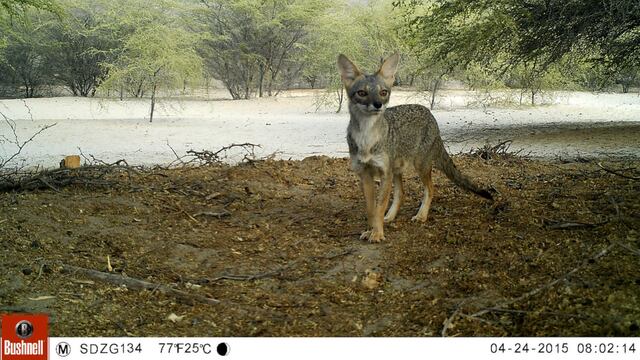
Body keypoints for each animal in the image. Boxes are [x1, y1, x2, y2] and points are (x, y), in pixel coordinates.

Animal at [338, 52, 492, 242]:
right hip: (396, 170)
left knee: (431, 189)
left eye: (383, 92)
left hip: (420, 166)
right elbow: (371, 209)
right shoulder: (365, 174)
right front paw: (371, 229)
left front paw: (377, 233)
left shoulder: (384, 173)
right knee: (401, 194)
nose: (378, 104)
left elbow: (379, 206)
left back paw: (421, 215)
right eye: (362, 93)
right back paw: (390, 217)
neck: (367, 138)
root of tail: (429, 113)